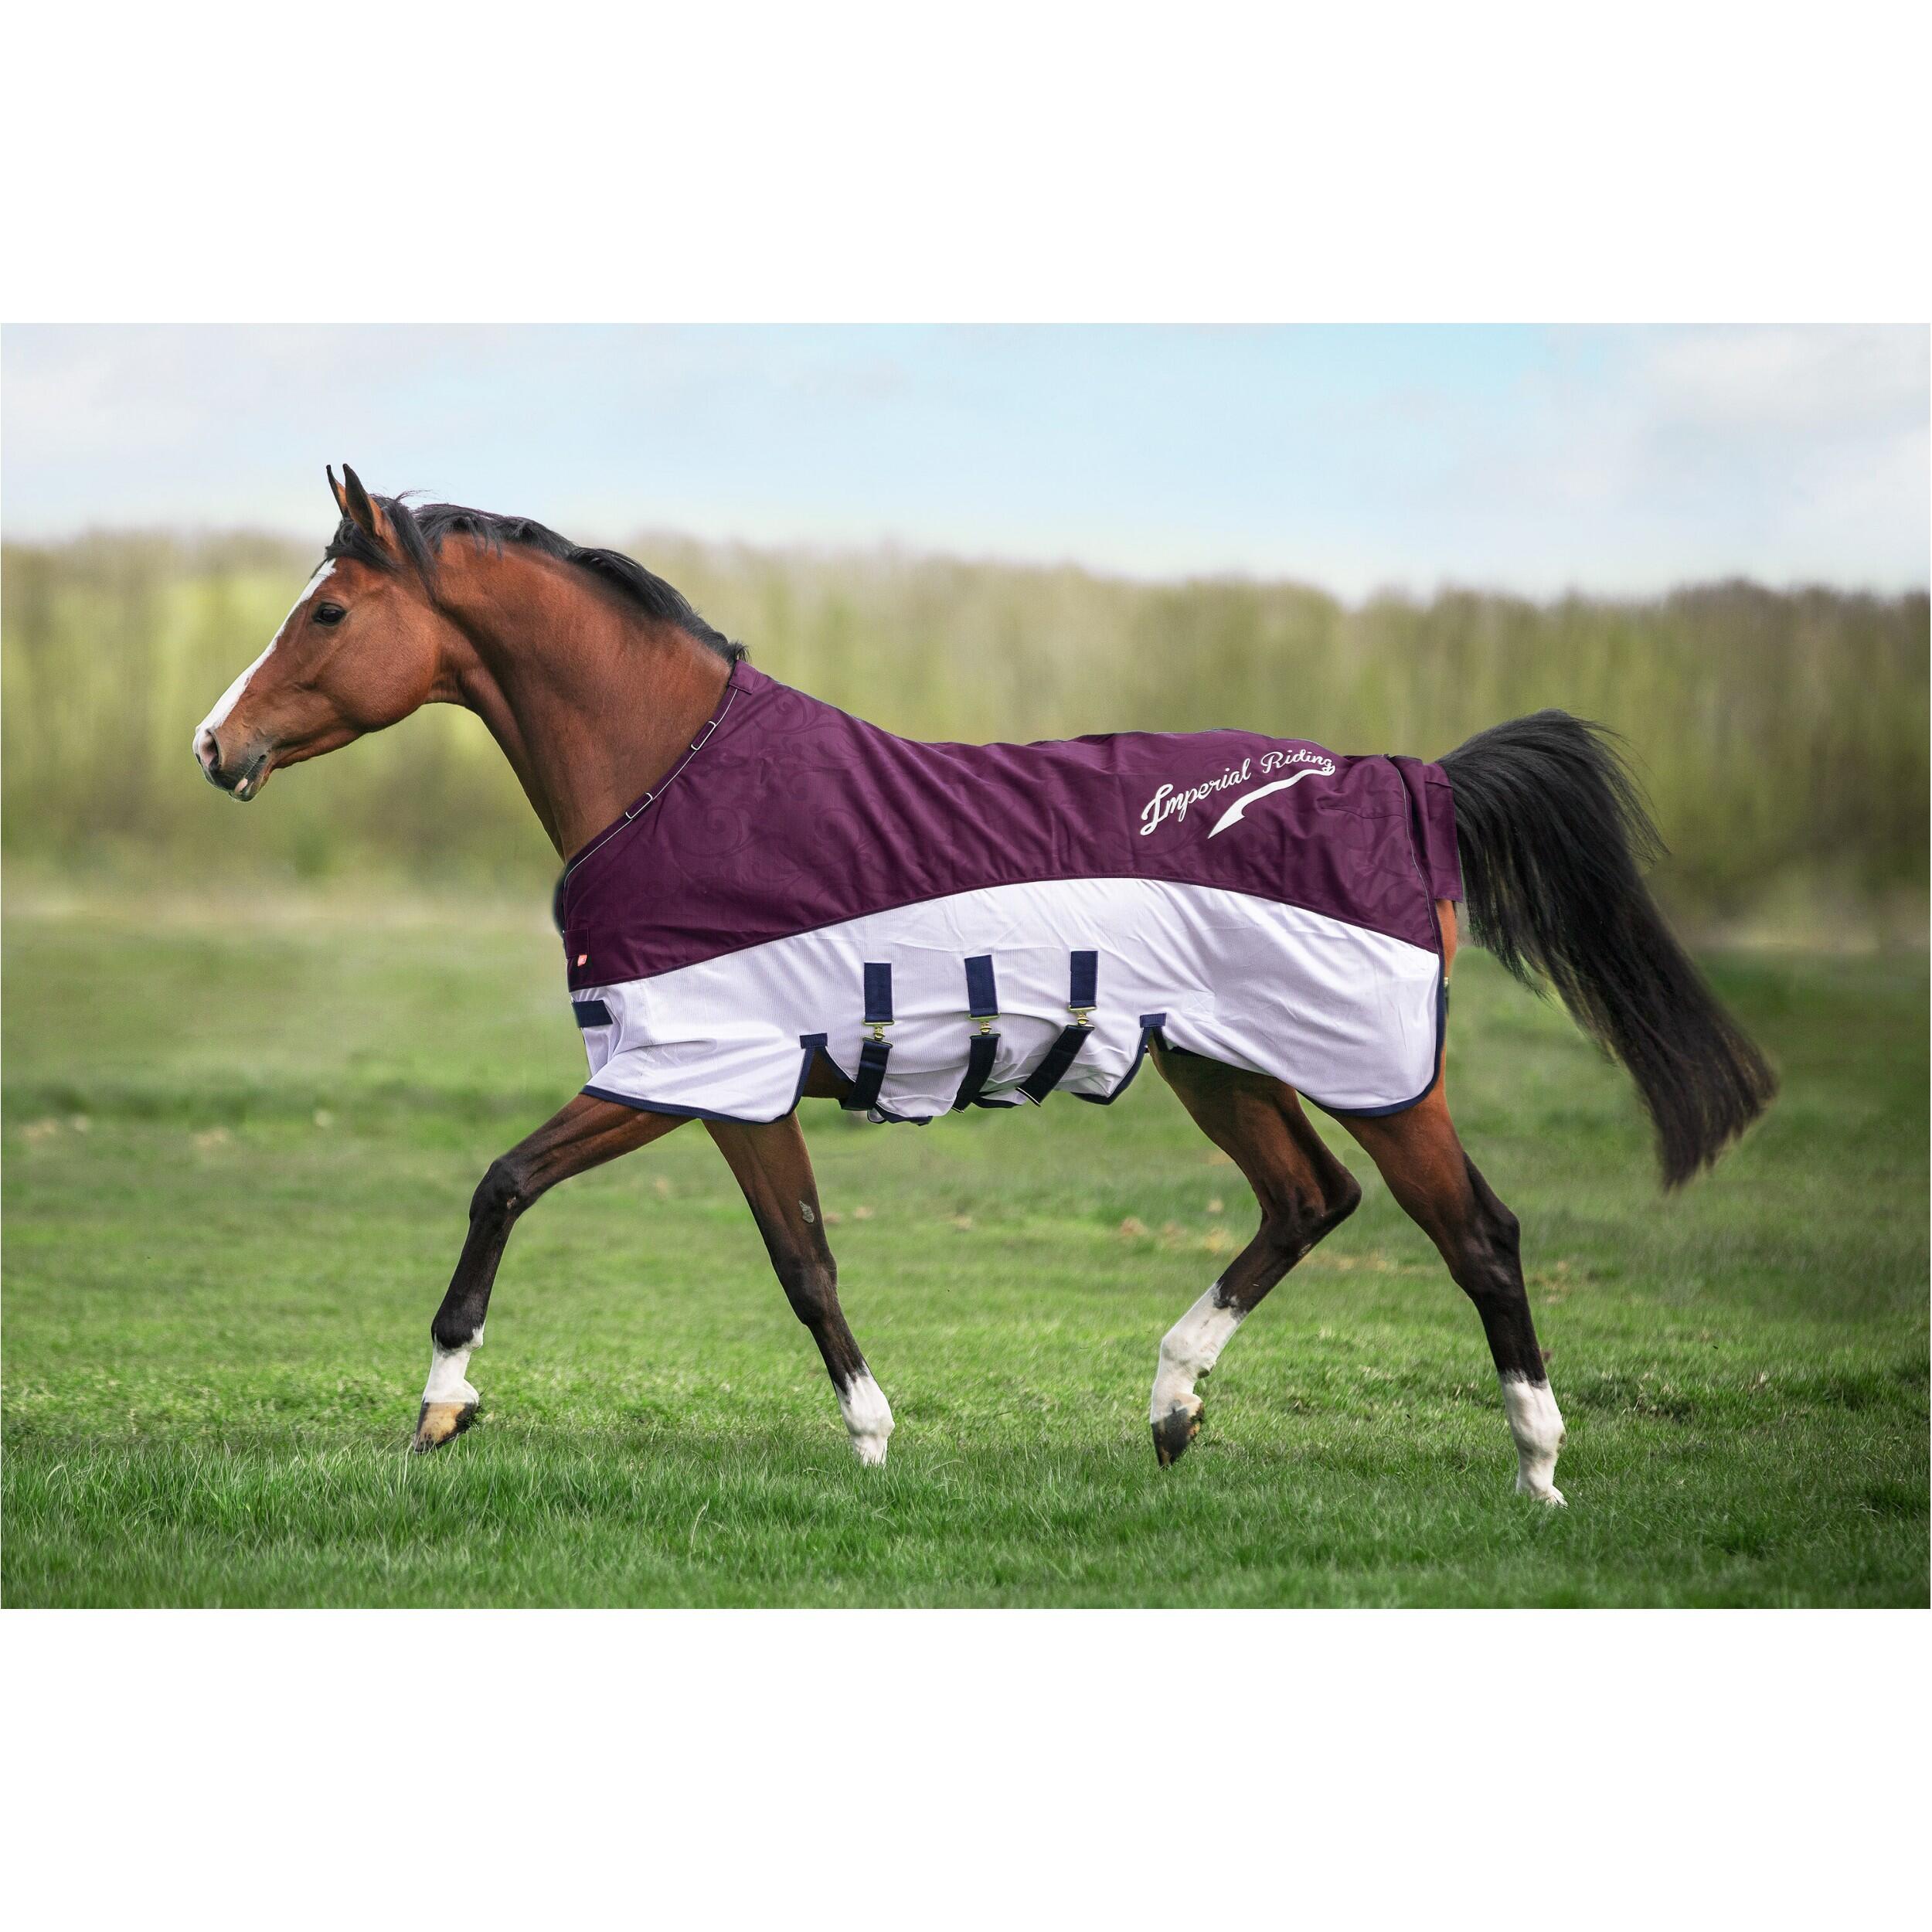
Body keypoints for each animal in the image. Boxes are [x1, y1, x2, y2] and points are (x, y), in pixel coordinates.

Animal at [193, 467, 1776, 1503]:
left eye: (327, 613)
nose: (216, 745)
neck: (682, 780)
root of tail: (1411, 780)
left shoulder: (679, 1071)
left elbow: (506, 1188)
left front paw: (440, 1408)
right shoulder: (738, 1096)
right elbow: (804, 1260)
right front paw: (873, 1437)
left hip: (1377, 1073)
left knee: (1479, 1236)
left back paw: (1538, 1464)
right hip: (1221, 1062)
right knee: (1307, 1201)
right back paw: (1173, 1406)